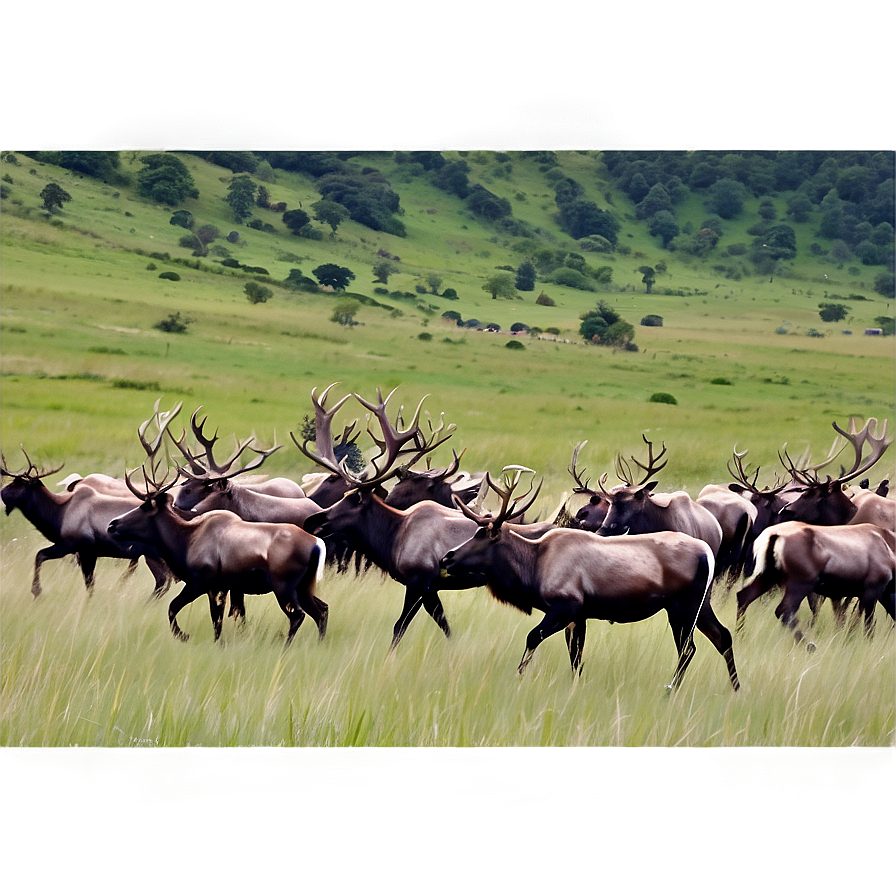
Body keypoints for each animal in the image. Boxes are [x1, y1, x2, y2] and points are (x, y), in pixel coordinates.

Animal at [107, 466, 328, 648]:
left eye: (145, 506)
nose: (112, 524)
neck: (184, 542)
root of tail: (317, 545)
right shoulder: (220, 588)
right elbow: (217, 621)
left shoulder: (201, 583)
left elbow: (174, 608)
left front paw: (184, 636)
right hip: (303, 586)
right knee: (322, 610)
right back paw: (319, 643)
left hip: (284, 586)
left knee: (298, 615)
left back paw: (285, 645)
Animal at [440, 466, 744, 688]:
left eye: (485, 534)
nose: (447, 558)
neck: (534, 569)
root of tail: (707, 552)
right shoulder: (579, 616)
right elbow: (576, 656)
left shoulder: (566, 606)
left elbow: (532, 638)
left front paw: (518, 677)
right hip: (700, 605)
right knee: (723, 636)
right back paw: (735, 689)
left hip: (683, 607)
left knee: (688, 648)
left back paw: (671, 691)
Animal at [736, 520, 896, 652]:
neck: (887, 543)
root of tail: (774, 534)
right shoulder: (872, 591)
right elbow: (866, 623)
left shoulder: (882, 594)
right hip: (800, 585)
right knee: (783, 611)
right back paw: (808, 645)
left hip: (768, 578)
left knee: (743, 597)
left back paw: (741, 636)